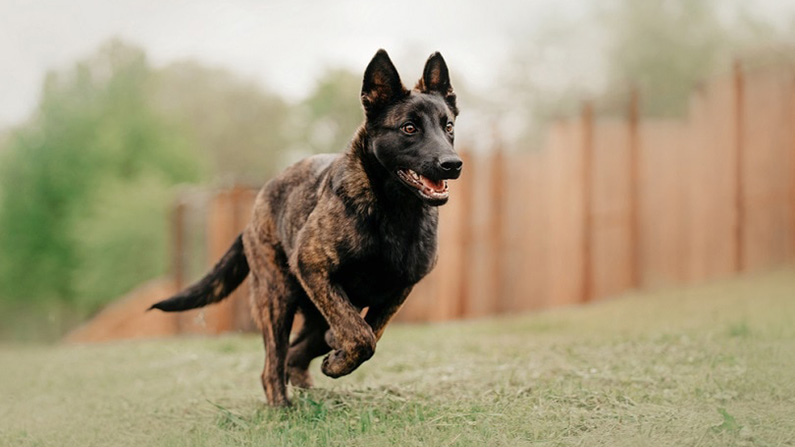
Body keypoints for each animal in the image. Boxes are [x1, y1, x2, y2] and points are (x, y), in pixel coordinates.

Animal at [150, 50, 464, 410]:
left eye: (448, 126)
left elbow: (371, 331)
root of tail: (252, 218)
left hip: (309, 310)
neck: (393, 211)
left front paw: (337, 358)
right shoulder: (314, 267)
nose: (452, 164)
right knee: (274, 363)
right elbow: (361, 336)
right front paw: (339, 360)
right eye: (409, 128)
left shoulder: (399, 289)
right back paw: (282, 407)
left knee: (297, 354)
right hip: (277, 298)